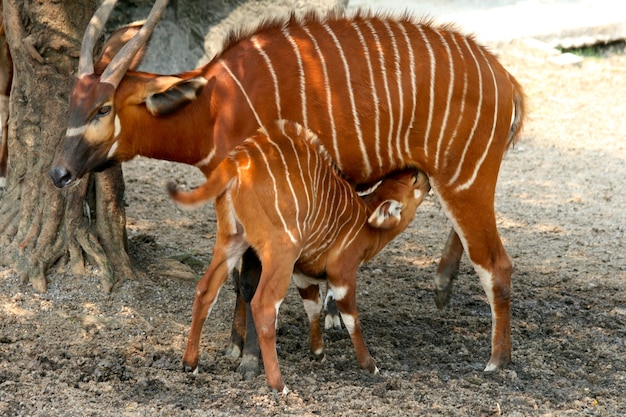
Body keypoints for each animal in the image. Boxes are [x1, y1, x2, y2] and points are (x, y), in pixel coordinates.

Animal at [166, 118, 428, 392]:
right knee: (264, 305)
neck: (365, 220)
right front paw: (370, 366)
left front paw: (318, 353)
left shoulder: (303, 275)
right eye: (415, 179)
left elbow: (312, 307)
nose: (423, 174)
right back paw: (278, 385)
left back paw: (190, 364)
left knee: (205, 289)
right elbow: (351, 317)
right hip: (281, 251)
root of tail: (234, 164)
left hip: (231, 240)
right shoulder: (343, 274)